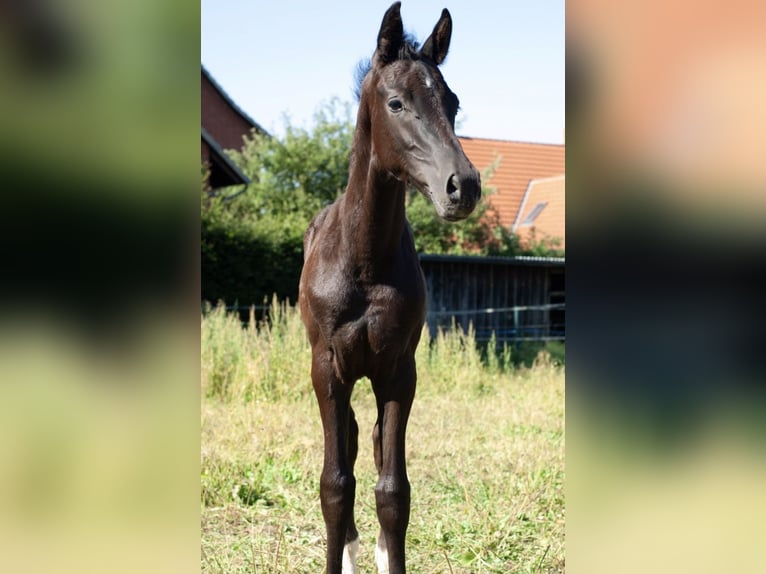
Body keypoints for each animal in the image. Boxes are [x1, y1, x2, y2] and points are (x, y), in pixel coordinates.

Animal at [298, 3, 480, 572]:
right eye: (396, 101)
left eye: (453, 102)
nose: (462, 186)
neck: (365, 263)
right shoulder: (328, 368)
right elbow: (335, 484)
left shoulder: (400, 371)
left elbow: (394, 490)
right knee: (353, 447)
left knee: (375, 445)